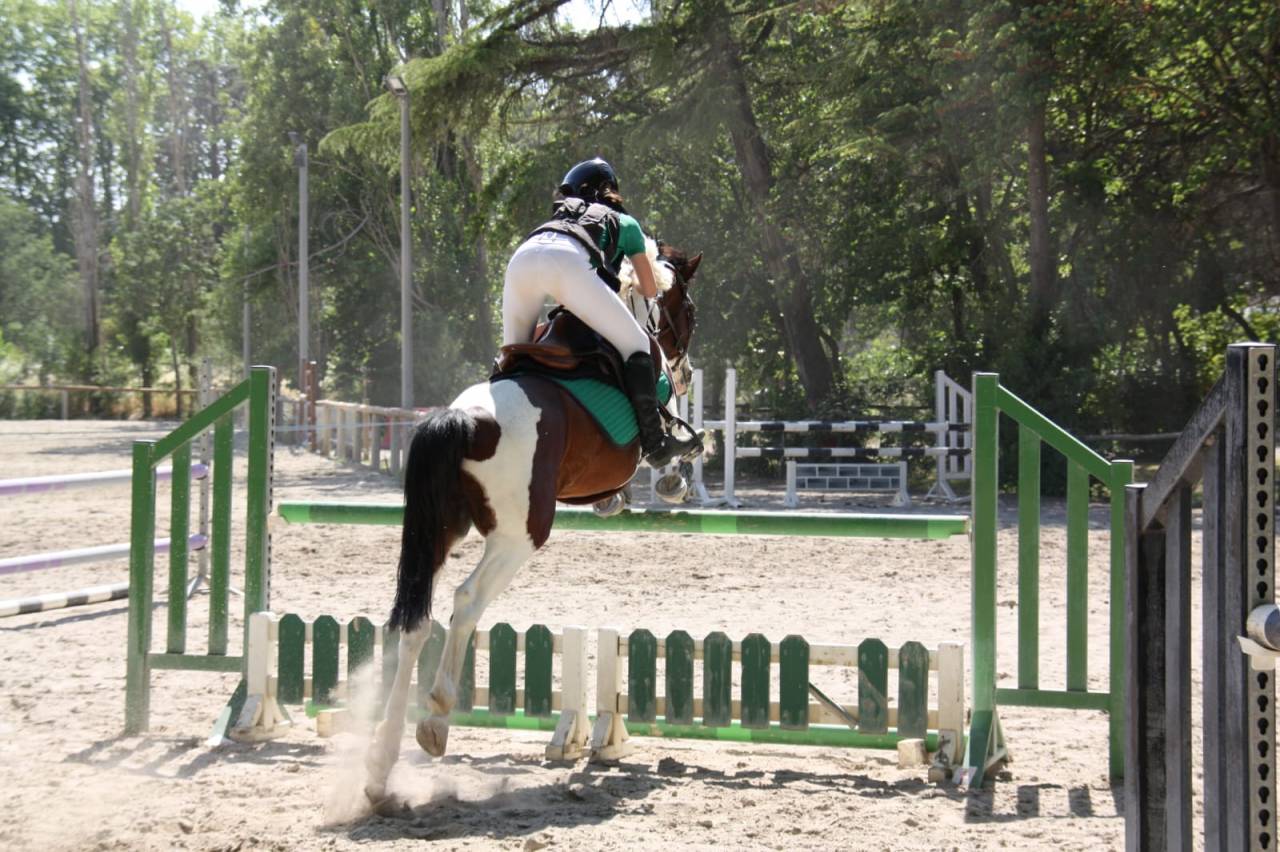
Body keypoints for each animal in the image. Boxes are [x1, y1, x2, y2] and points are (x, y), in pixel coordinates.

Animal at [364, 243, 703, 804]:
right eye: (688, 313)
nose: (688, 371)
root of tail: (463, 421)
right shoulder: (653, 397)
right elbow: (669, 435)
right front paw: (675, 471)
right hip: (519, 535)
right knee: (465, 602)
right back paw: (434, 720)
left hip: (439, 531)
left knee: (414, 621)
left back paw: (380, 765)